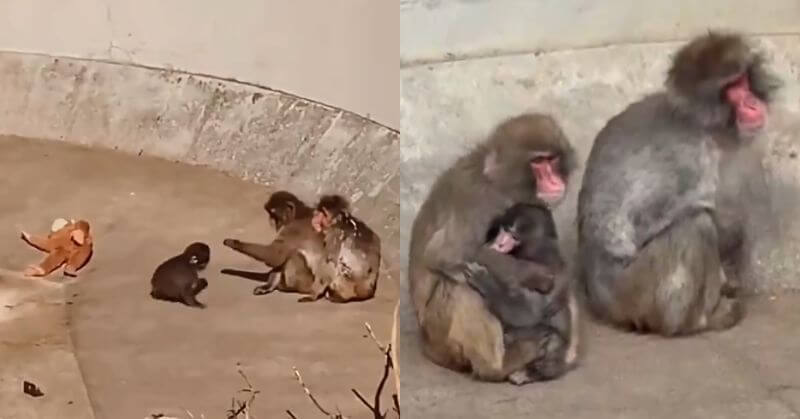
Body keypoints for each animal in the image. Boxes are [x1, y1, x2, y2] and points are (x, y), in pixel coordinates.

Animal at [407, 112, 580, 385]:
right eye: (538, 162)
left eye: (552, 160)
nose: (555, 181)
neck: (498, 183)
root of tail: (425, 345)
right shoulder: (477, 201)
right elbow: (446, 254)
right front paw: (533, 274)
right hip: (439, 337)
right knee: (461, 286)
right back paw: (498, 367)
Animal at [576, 32, 781, 336]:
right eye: (732, 89)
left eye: (743, 80)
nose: (752, 103)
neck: (705, 126)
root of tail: (602, 304)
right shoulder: (688, 157)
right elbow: (634, 224)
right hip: (637, 293)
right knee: (697, 225)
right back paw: (696, 321)